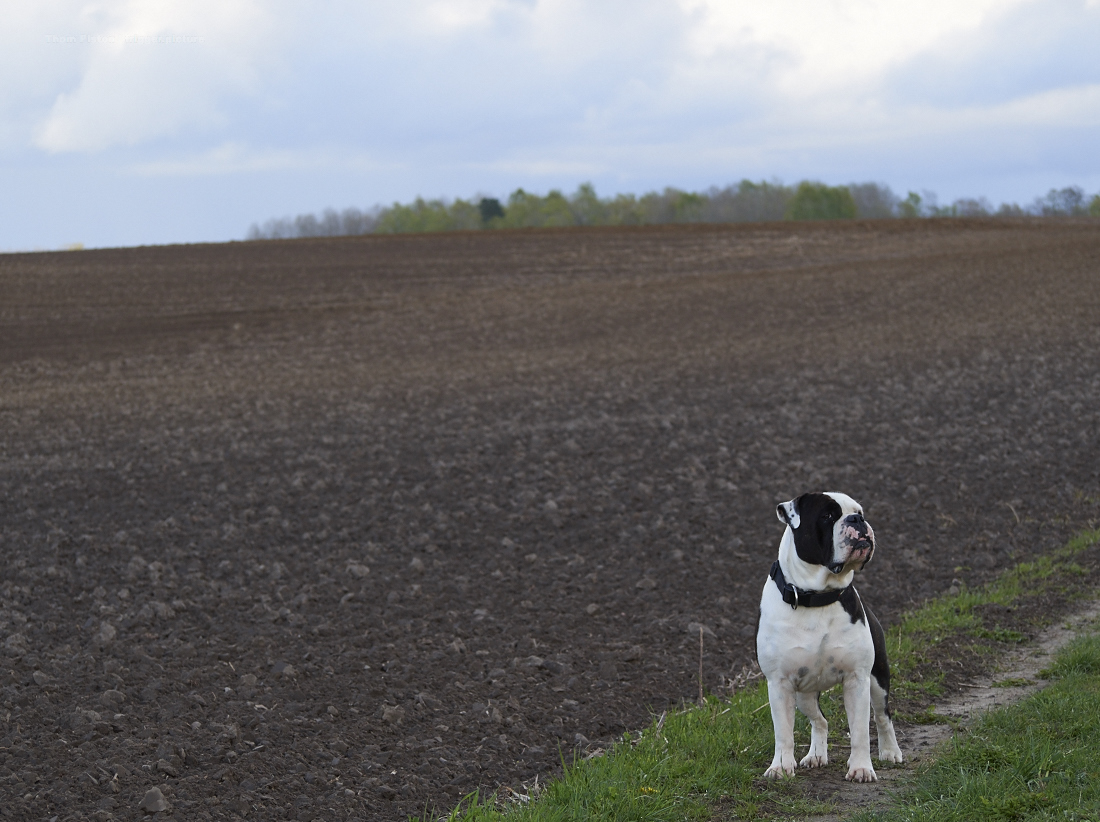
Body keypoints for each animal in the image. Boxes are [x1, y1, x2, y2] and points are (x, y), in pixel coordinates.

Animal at [756, 492, 902, 783]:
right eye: (827, 516)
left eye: (860, 512)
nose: (856, 519)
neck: (817, 596)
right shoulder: (779, 684)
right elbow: (783, 733)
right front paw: (780, 767)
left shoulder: (857, 679)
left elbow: (860, 731)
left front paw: (861, 767)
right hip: (804, 695)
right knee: (820, 720)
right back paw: (816, 755)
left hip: (878, 678)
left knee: (883, 716)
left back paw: (890, 751)